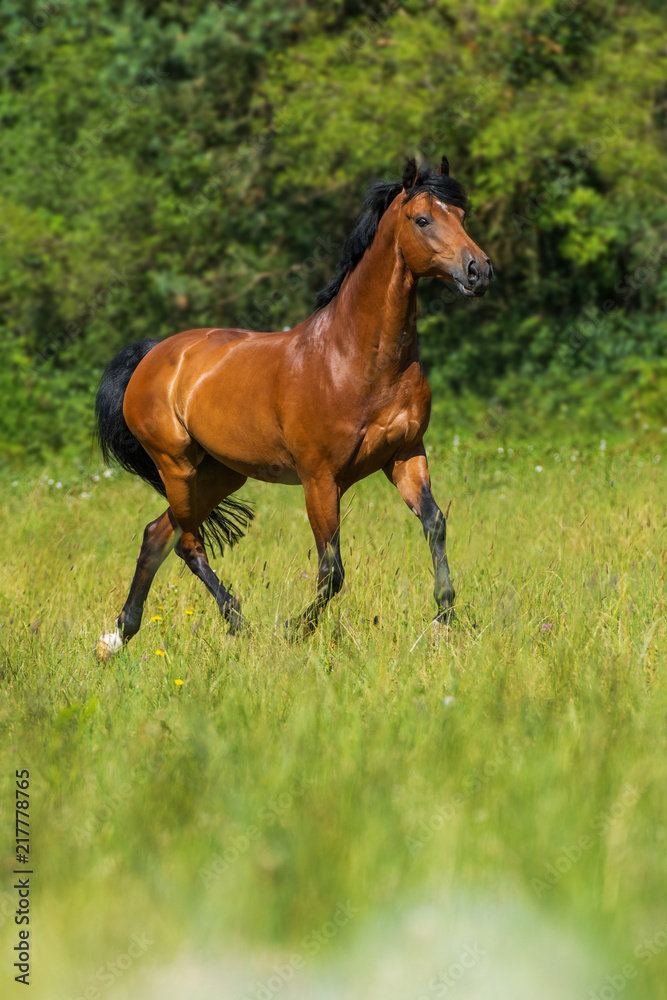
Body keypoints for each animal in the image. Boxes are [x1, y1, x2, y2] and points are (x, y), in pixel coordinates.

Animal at [94, 156, 490, 660]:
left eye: (461, 215)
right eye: (423, 220)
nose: (479, 271)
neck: (353, 357)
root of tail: (151, 355)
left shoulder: (405, 455)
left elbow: (435, 524)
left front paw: (444, 620)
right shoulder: (319, 477)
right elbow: (332, 569)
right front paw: (293, 631)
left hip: (220, 473)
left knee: (156, 535)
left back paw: (118, 636)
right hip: (175, 465)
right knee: (188, 544)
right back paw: (237, 623)